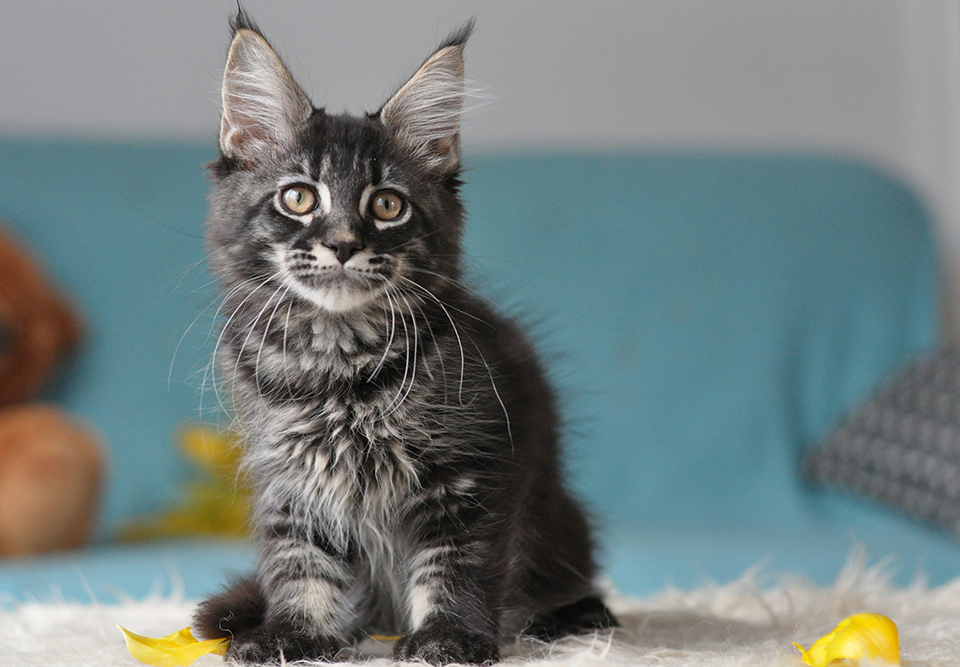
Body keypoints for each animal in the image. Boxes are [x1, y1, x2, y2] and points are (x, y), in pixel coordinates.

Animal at [193, 13, 624, 664]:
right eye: (298, 197)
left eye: (388, 205)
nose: (343, 243)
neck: (337, 365)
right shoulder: (289, 475)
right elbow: (301, 560)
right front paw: (296, 633)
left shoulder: (475, 468)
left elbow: (454, 564)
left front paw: (448, 636)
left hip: (559, 524)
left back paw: (570, 619)